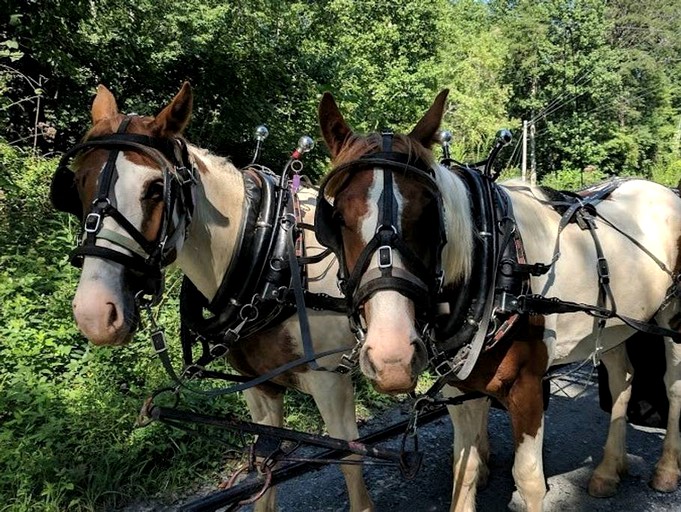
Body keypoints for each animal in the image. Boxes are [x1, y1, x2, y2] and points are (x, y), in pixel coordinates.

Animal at [49, 82, 372, 510]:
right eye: (79, 182)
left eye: (156, 189)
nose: (94, 314)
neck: (274, 254)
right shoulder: (258, 386)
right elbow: (264, 467)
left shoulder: (331, 382)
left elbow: (352, 462)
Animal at [316, 89, 680, 512]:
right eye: (338, 218)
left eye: (429, 215)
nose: (392, 358)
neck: (494, 259)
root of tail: (662, 190)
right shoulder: (461, 389)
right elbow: (465, 468)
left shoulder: (527, 387)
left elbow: (529, 480)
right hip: (612, 325)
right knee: (622, 379)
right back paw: (607, 470)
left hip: (671, 318)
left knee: (673, 385)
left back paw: (667, 469)